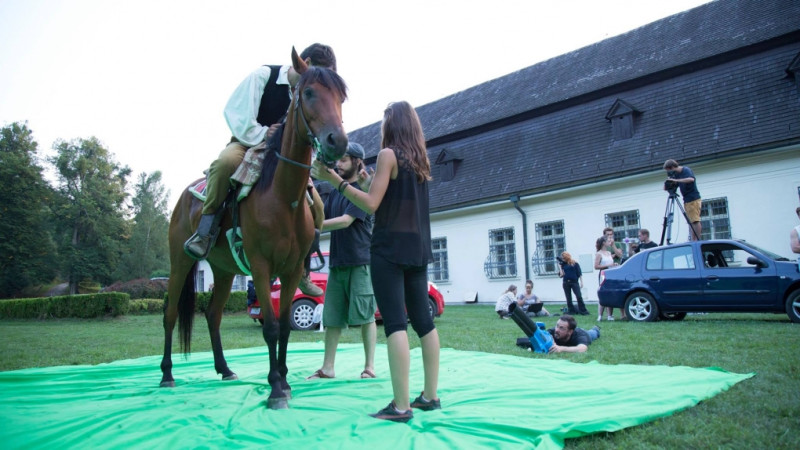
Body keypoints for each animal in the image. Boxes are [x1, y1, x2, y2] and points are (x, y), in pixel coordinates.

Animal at [161, 47, 348, 410]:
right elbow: (271, 327)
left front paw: (285, 381)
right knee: (170, 313)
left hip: (222, 272)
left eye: (341, 96)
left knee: (213, 315)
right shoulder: (261, 268)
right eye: (308, 93)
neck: (282, 196)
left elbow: (286, 327)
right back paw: (167, 375)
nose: (338, 141)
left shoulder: (291, 271)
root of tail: (184, 196)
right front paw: (275, 388)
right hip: (180, 263)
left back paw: (225, 369)